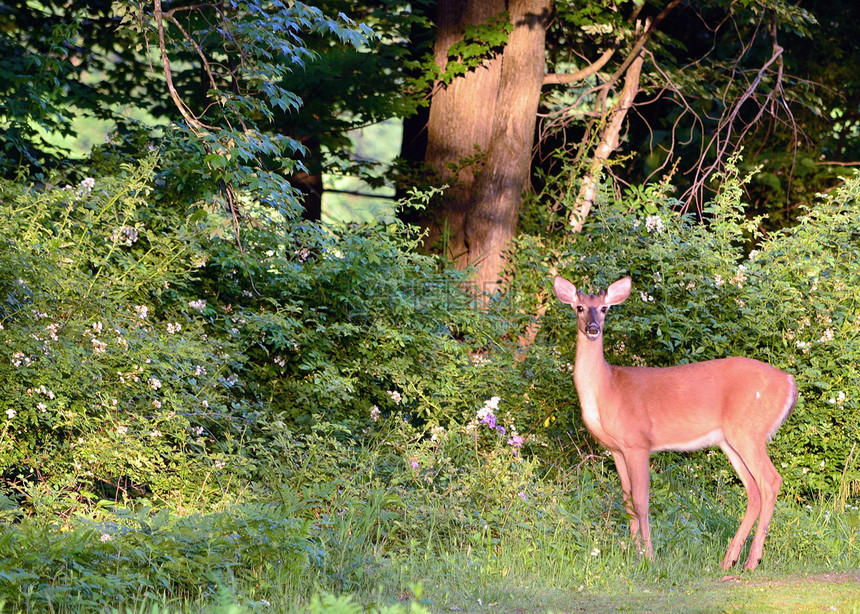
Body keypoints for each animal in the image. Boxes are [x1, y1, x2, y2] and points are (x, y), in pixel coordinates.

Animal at [556, 274, 796, 572]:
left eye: (604, 308)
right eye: (579, 307)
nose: (592, 328)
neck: (606, 389)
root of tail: (789, 383)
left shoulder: (638, 443)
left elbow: (641, 501)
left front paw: (648, 556)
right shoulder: (616, 449)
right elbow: (626, 500)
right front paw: (633, 554)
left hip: (750, 431)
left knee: (771, 481)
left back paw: (751, 562)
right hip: (730, 440)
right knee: (753, 490)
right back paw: (728, 560)